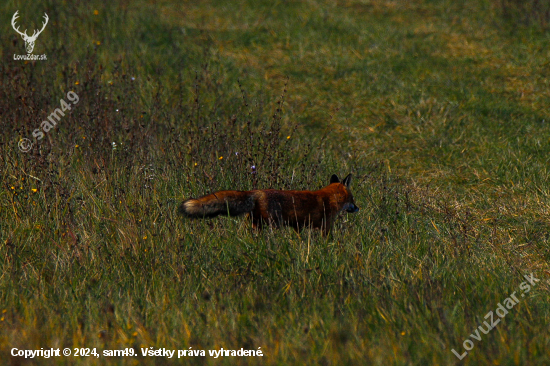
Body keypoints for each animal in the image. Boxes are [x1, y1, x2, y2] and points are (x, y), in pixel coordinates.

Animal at [181, 174, 360, 236]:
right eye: (353, 199)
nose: (358, 208)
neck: (329, 198)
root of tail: (257, 191)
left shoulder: (298, 226)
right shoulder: (326, 226)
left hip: (255, 224)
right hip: (274, 224)